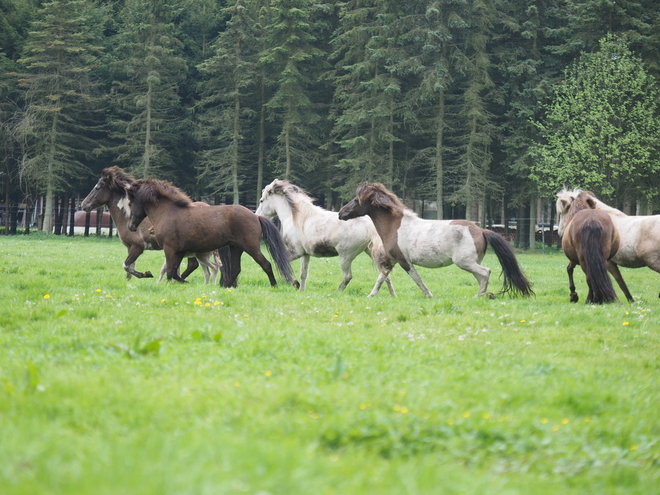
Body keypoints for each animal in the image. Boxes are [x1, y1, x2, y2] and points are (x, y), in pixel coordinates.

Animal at [81, 167, 220, 282]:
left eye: (98, 187)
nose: (83, 205)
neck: (127, 216)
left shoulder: (138, 247)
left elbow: (126, 266)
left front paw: (146, 274)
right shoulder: (129, 247)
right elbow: (129, 268)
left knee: (193, 265)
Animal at [124, 178, 300, 288]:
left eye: (130, 203)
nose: (131, 226)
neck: (168, 212)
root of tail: (256, 216)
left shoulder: (170, 249)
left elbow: (170, 272)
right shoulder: (178, 251)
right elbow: (173, 272)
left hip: (251, 247)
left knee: (266, 264)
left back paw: (274, 285)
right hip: (236, 248)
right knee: (235, 269)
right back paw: (226, 287)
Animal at [255, 180, 394, 296]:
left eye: (261, 200)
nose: (257, 215)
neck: (297, 217)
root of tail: (370, 225)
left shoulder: (295, 252)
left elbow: (281, 263)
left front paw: (293, 283)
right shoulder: (305, 254)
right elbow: (303, 274)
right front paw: (301, 290)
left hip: (346, 256)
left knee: (348, 276)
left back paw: (337, 292)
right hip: (370, 252)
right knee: (385, 274)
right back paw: (392, 295)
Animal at [338, 182, 532, 298]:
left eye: (356, 200)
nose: (341, 213)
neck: (395, 226)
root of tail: (481, 230)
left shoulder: (404, 260)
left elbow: (417, 278)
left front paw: (429, 295)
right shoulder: (393, 259)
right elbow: (382, 277)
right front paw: (371, 295)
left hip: (465, 262)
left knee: (485, 273)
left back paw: (478, 297)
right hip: (472, 262)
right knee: (481, 276)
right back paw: (484, 295)